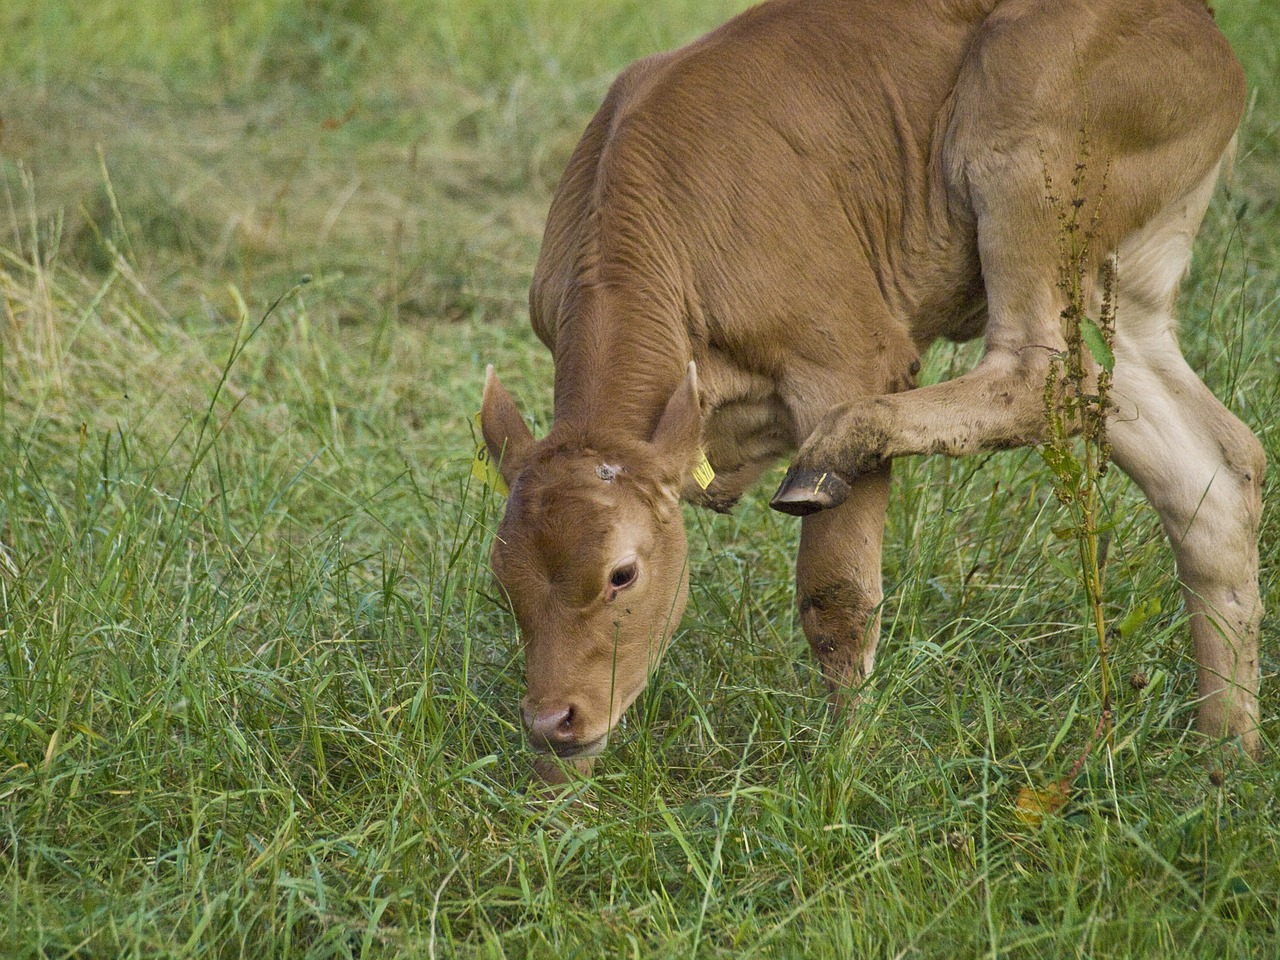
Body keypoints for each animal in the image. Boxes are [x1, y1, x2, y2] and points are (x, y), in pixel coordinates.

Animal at [481, 0, 1259, 783]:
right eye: (501, 577)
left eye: (622, 574)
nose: (551, 720)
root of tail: (1198, 23)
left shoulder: (850, 359)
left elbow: (836, 596)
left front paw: (844, 754)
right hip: (1119, 290)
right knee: (1209, 469)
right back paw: (1225, 752)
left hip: (1027, 140)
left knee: (1039, 371)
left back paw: (837, 449)